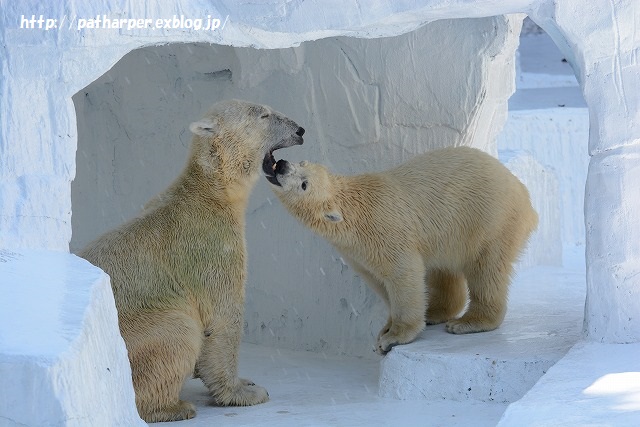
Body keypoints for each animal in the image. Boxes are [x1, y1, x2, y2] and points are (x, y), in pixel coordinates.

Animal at [80, 100, 304, 424]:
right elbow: (222, 317)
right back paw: (172, 407)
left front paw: (245, 381)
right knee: (178, 331)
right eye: (264, 114)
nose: (300, 130)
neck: (212, 192)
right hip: (133, 335)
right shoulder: (210, 245)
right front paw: (244, 392)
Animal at [264, 147, 540, 354]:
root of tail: (526, 197)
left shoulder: (384, 230)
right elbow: (377, 280)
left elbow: (402, 274)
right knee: (443, 269)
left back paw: (468, 322)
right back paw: (435, 312)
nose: (283, 164)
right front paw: (386, 327)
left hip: (490, 220)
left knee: (486, 269)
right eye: (302, 161)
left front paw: (393, 337)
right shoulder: (356, 253)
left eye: (304, 184)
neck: (353, 212)